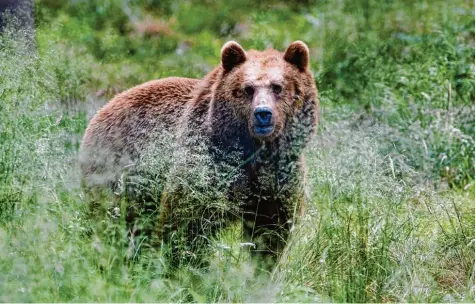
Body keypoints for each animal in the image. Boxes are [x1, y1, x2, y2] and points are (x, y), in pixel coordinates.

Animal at [80, 40, 318, 264]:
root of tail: (103, 108)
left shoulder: (278, 176)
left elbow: (271, 229)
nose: (263, 114)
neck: (254, 152)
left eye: (277, 87)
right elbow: (186, 221)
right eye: (248, 88)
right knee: (112, 219)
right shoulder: (207, 164)